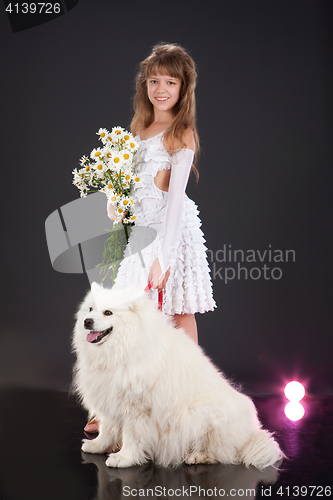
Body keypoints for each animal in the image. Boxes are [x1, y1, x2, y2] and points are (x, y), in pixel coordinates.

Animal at [73, 284, 282, 470]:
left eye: (108, 312)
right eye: (90, 309)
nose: (87, 321)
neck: (122, 349)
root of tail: (251, 436)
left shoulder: (137, 408)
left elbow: (133, 436)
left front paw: (124, 458)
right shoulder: (109, 396)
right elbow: (107, 429)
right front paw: (98, 446)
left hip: (201, 414)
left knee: (222, 452)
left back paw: (197, 456)